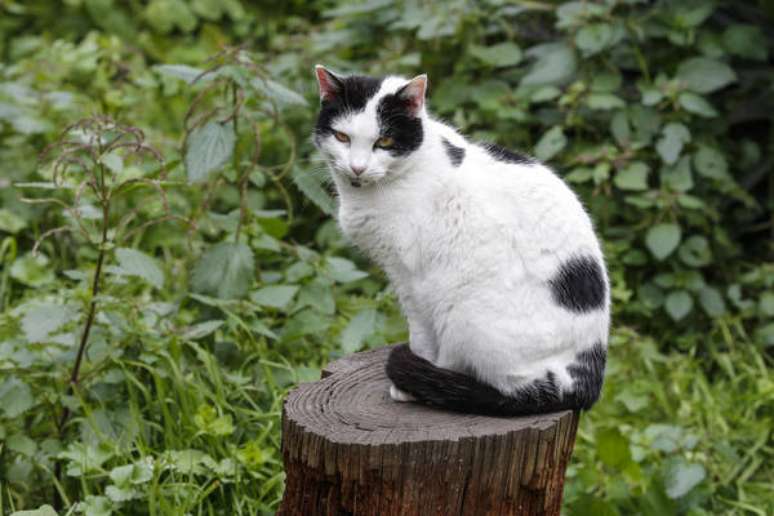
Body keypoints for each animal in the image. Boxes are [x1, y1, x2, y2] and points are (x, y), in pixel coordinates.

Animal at [312, 66, 608, 418]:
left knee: (498, 384)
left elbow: (420, 337)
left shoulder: (412, 280)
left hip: (463, 313)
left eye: (383, 141)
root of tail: (581, 385)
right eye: (343, 137)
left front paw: (407, 386)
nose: (357, 168)